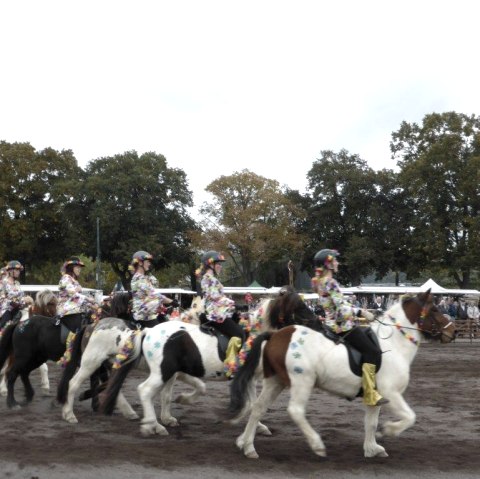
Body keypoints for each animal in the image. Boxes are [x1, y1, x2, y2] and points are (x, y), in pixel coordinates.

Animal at [56, 292, 206, 424]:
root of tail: (93, 326)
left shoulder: (177, 373)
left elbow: (200, 386)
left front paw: (182, 401)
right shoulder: (171, 373)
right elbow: (167, 395)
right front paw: (167, 418)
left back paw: (126, 412)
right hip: (91, 363)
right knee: (73, 384)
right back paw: (70, 415)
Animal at [98, 290, 320, 436]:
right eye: (299, 307)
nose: (320, 325)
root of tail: (149, 331)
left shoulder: (248, 379)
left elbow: (252, 403)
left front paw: (258, 426)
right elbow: (247, 403)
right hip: (162, 371)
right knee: (144, 390)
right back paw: (153, 425)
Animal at [227, 290, 456, 460]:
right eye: (435, 309)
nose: (452, 332)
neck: (394, 343)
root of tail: (276, 335)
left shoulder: (375, 396)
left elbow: (371, 423)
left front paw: (372, 448)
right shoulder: (392, 393)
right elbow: (410, 417)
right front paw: (389, 430)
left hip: (275, 381)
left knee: (258, 408)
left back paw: (248, 446)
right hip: (302, 381)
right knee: (295, 411)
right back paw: (317, 445)